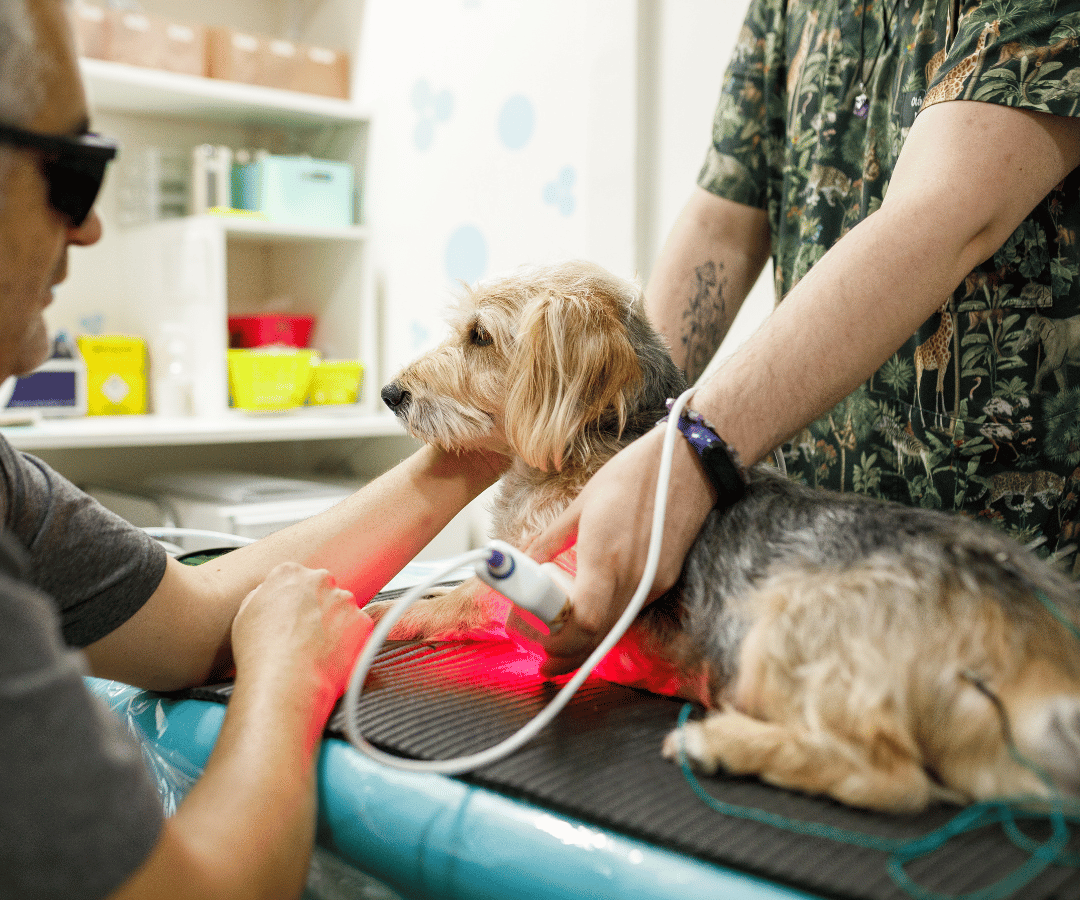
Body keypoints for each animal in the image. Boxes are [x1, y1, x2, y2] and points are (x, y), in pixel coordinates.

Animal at [373, 259, 1080, 812]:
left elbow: (454, 602)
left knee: (890, 779)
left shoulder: (542, 575)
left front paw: (378, 619)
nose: (389, 392)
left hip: (783, 623)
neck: (592, 442)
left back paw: (719, 743)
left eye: (479, 336)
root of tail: (1032, 633)